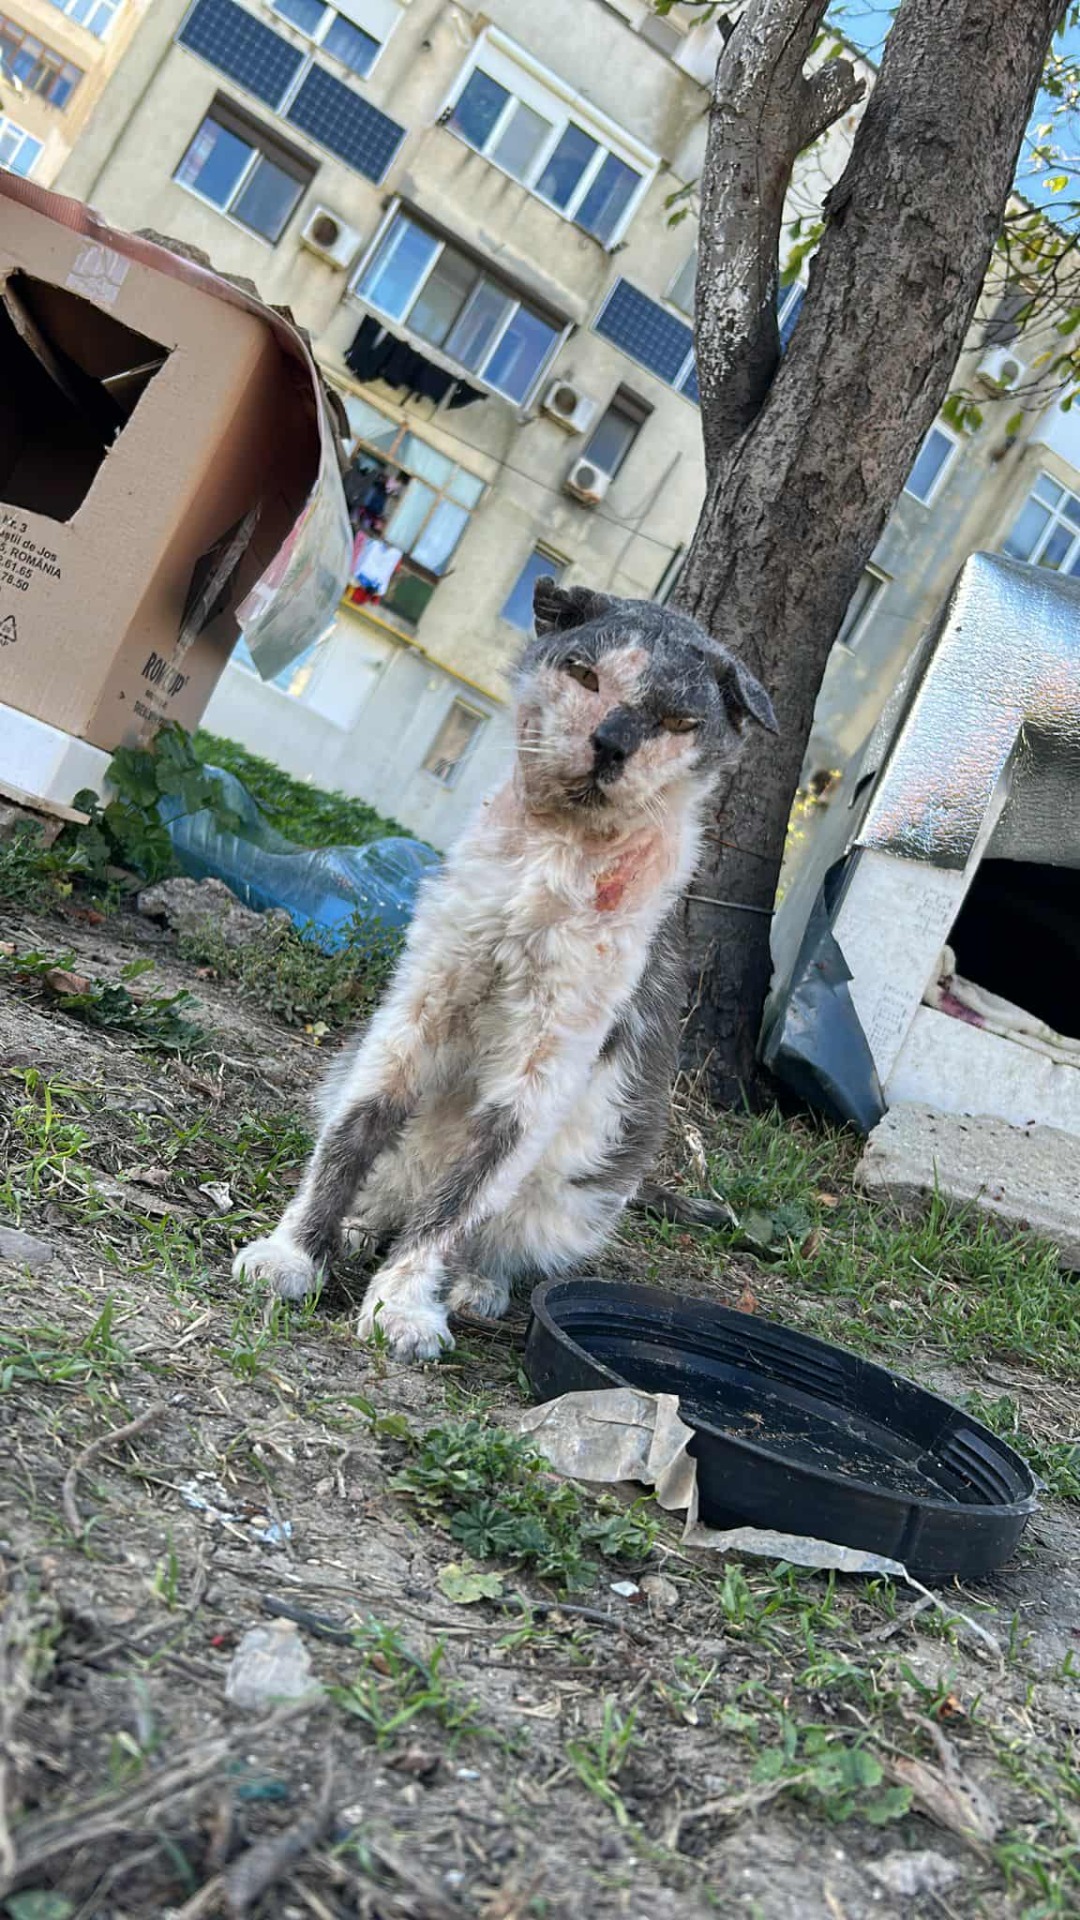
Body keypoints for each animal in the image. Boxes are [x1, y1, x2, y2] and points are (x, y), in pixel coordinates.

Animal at [232, 577, 777, 1359]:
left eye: (678, 721)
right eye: (584, 674)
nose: (611, 743)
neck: (557, 857)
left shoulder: (543, 1066)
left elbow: (460, 1202)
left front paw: (404, 1305)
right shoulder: (417, 1008)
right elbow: (350, 1137)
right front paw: (296, 1252)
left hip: (574, 1191)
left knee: (487, 1234)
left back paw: (472, 1286)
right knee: (388, 1188)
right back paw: (361, 1228)